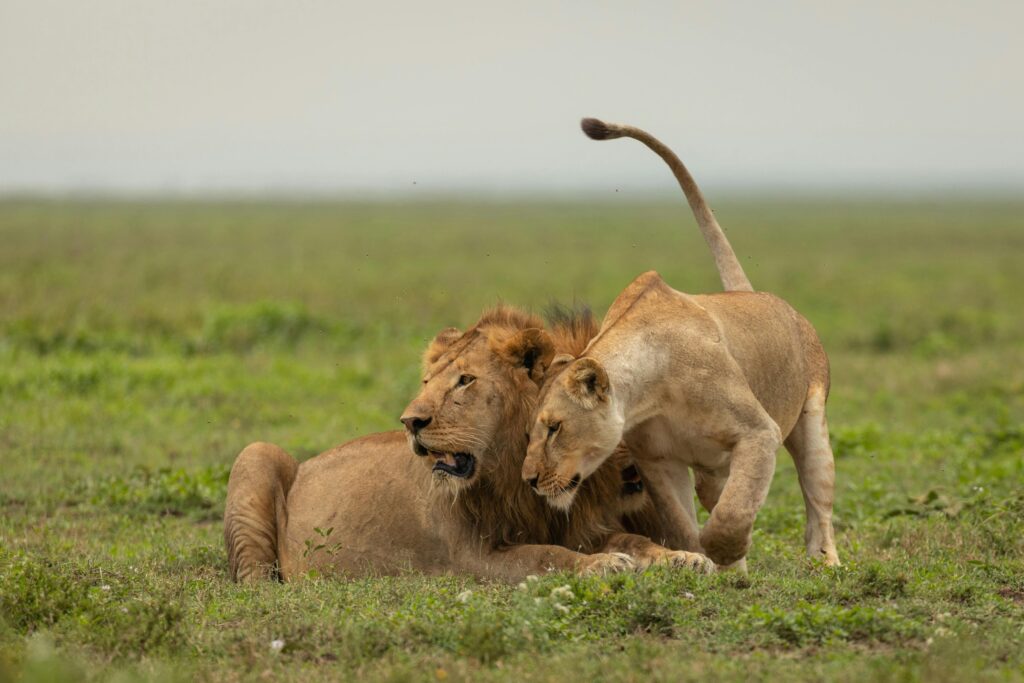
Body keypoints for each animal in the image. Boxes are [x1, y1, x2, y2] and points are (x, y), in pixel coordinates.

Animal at [224, 307, 712, 583]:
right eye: (427, 382)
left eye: (465, 381)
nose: (410, 421)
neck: (515, 471)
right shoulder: (470, 557)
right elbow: (544, 556)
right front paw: (601, 566)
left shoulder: (580, 527)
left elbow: (634, 539)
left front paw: (682, 558)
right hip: (256, 454)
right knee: (252, 575)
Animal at [520, 118, 840, 569]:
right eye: (529, 432)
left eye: (554, 428)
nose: (529, 480)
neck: (652, 392)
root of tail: (758, 296)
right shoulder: (658, 462)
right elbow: (681, 523)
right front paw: (698, 561)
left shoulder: (759, 432)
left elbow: (734, 511)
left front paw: (724, 552)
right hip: (711, 470)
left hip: (810, 424)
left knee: (817, 500)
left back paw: (824, 563)